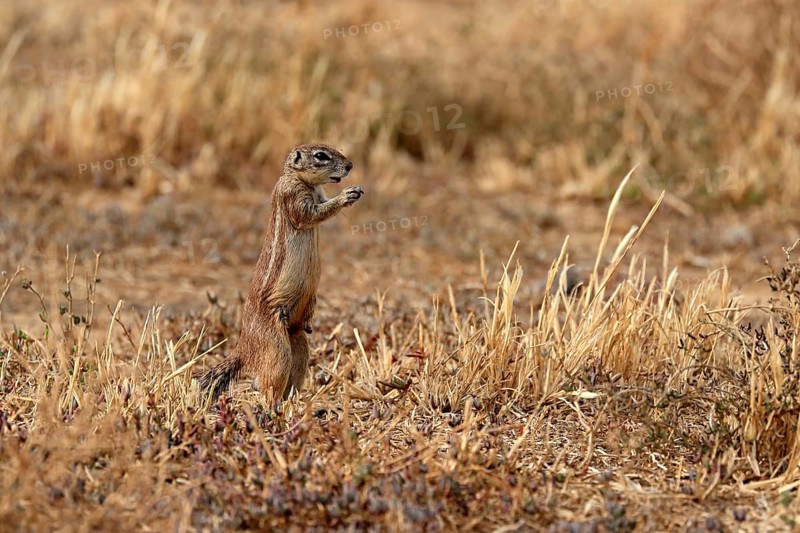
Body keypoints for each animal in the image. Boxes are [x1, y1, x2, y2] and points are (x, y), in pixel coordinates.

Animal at [197, 143, 364, 405]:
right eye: (321, 156)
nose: (350, 166)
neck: (299, 179)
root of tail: (245, 347)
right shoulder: (293, 197)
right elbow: (313, 214)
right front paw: (347, 194)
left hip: (298, 341)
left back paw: (294, 403)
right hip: (276, 347)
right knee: (267, 380)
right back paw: (271, 406)